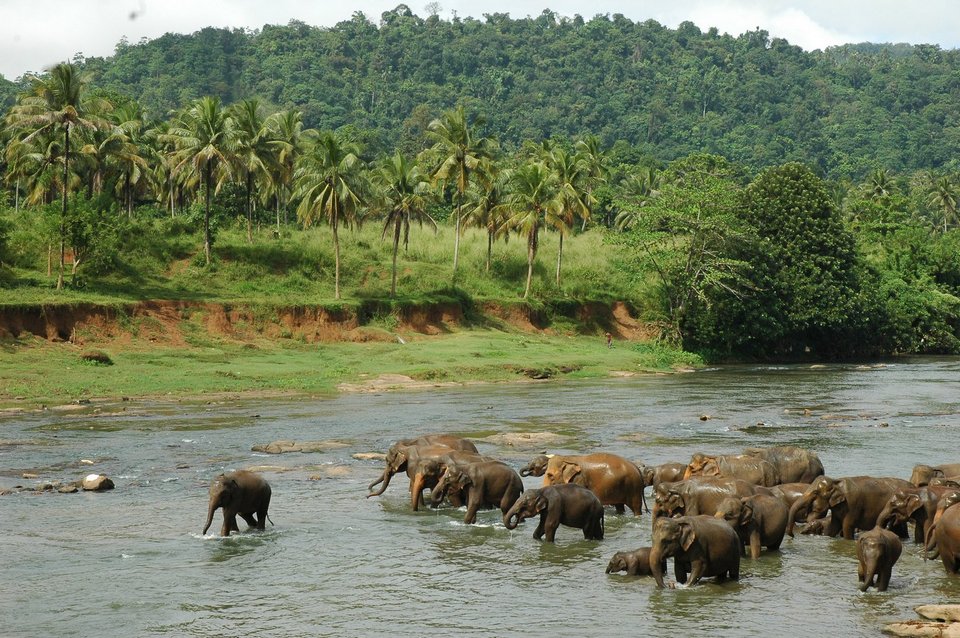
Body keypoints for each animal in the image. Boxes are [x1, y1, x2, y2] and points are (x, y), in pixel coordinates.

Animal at [788, 478, 916, 544]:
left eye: (815, 493)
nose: (793, 536)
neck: (836, 482)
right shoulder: (837, 509)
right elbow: (833, 526)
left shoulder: (852, 506)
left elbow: (847, 526)